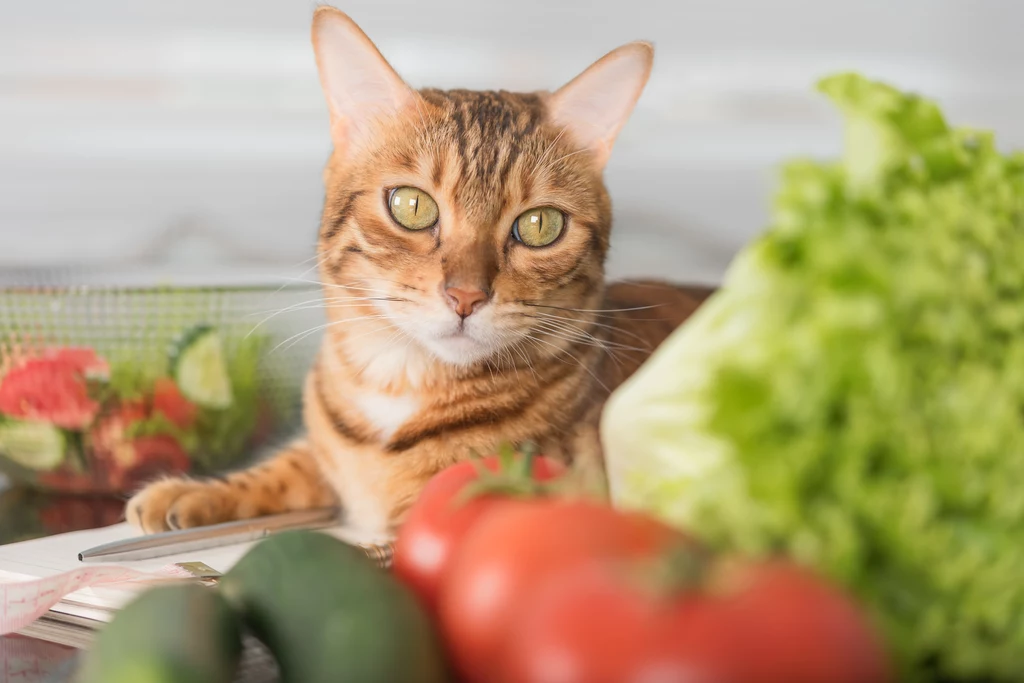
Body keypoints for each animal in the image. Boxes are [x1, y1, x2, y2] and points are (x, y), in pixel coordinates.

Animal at [125, 7, 712, 536]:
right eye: (411, 206)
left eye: (540, 224)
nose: (466, 296)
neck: (397, 381)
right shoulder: (325, 446)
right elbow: (292, 463)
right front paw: (197, 492)